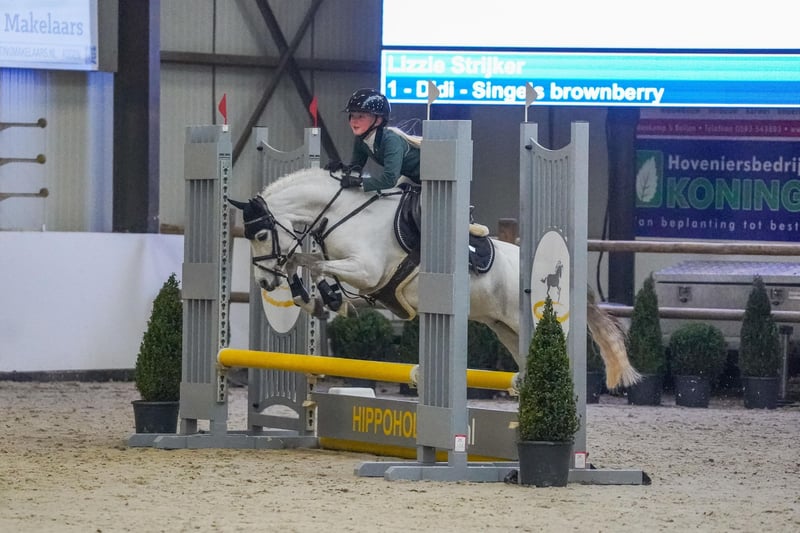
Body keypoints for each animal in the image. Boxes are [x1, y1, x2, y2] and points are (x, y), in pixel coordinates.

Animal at [229, 167, 641, 390]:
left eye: (261, 235)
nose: (264, 284)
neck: (345, 212)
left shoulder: (367, 271)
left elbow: (313, 263)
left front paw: (323, 296)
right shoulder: (370, 284)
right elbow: (311, 262)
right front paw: (313, 297)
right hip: (505, 329)